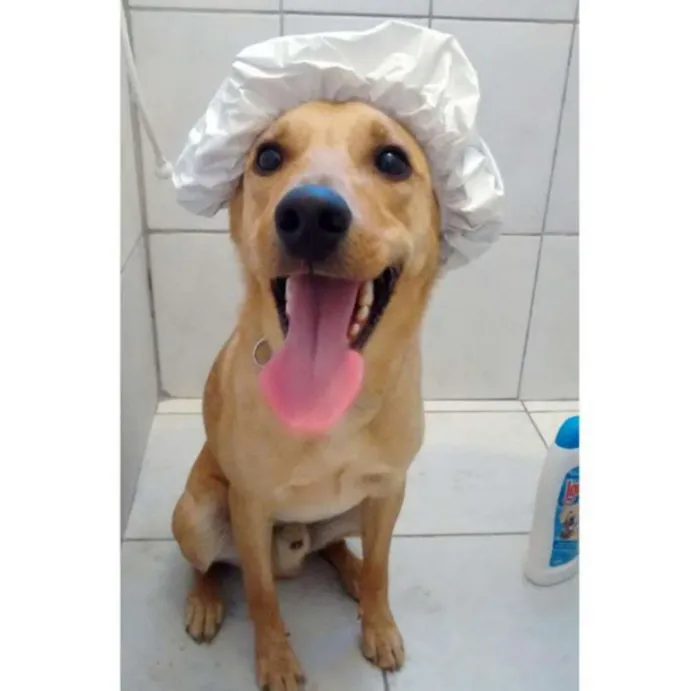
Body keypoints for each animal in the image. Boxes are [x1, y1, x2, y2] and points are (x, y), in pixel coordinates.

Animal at [171, 100, 442, 691]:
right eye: (268, 157)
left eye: (392, 159)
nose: (311, 214)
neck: (331, 404)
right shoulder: (249, 505)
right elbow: (261, 596)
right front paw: (275, 659)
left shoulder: (390, 490)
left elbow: (383, 568)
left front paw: (378, 625)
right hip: (197, 513)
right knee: (205, 565)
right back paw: (204, 600)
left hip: (357, 508)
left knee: (339, 546)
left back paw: (352, 574)